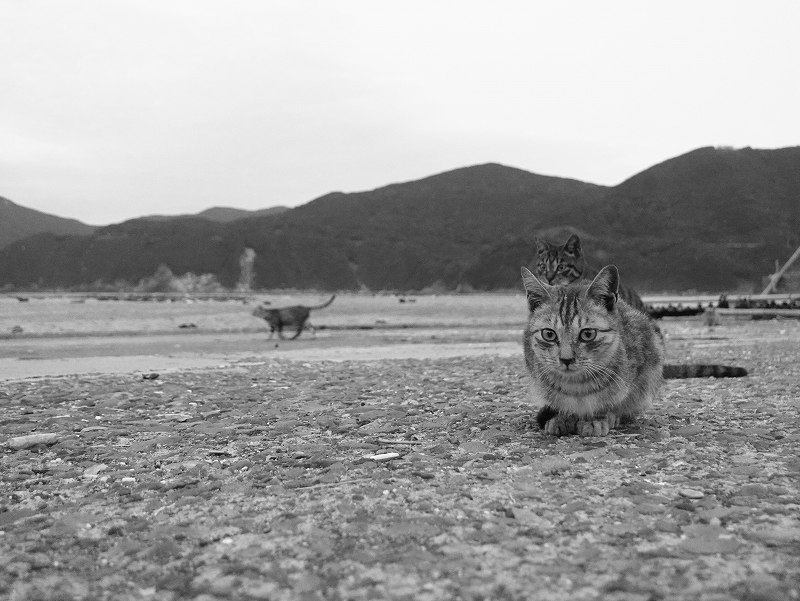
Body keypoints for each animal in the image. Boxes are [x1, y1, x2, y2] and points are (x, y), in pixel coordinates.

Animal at [520, 264, 664, 436]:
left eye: (587, 334)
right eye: (549, 334)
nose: (566, 359)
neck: (576, 385)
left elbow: (611, 401)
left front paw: (597, 418)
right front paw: (564, 417)